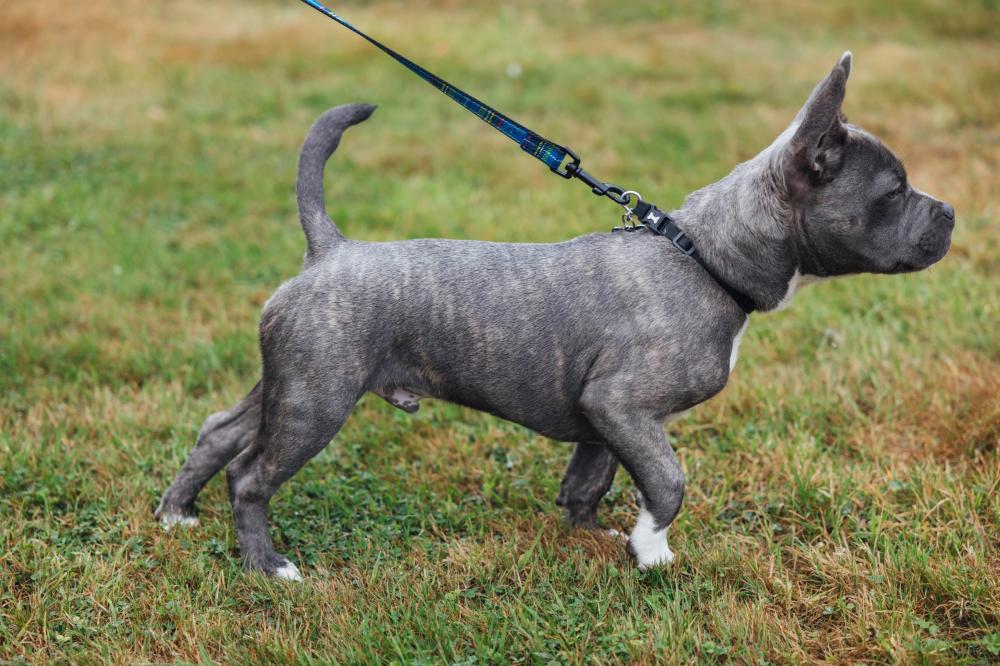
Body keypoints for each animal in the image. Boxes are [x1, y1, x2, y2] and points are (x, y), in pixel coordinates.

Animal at [156, 54, 952, 580]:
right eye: (895, 190)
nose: (949, 212)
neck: (703, 256)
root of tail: (330, 248)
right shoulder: (625, 405)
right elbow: (669, 483)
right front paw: (651, 550)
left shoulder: (605, 419)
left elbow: (587, 483)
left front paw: (595, 537)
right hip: (316, 402)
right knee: (250, 477)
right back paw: (268, 566)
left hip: (286, 382)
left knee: (218, 432)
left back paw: (175, 514)